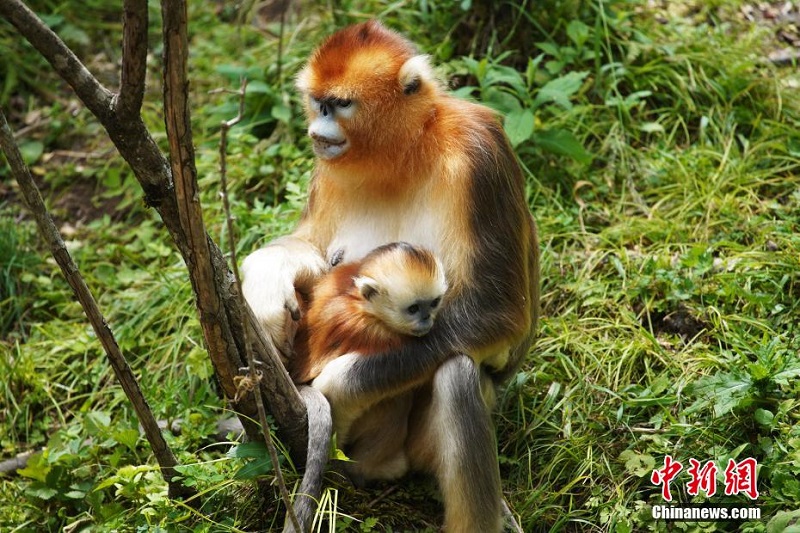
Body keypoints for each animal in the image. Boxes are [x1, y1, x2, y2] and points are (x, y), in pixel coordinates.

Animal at [242, 18, 544, 528]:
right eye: (317, 101)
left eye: (340, 103)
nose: (318, 127)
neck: (404, 152)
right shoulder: (329, 167)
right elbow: (313, 253)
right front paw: (265, 281)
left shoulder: (480, 151)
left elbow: (495, 312)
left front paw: (339, 386)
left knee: (457, 375)